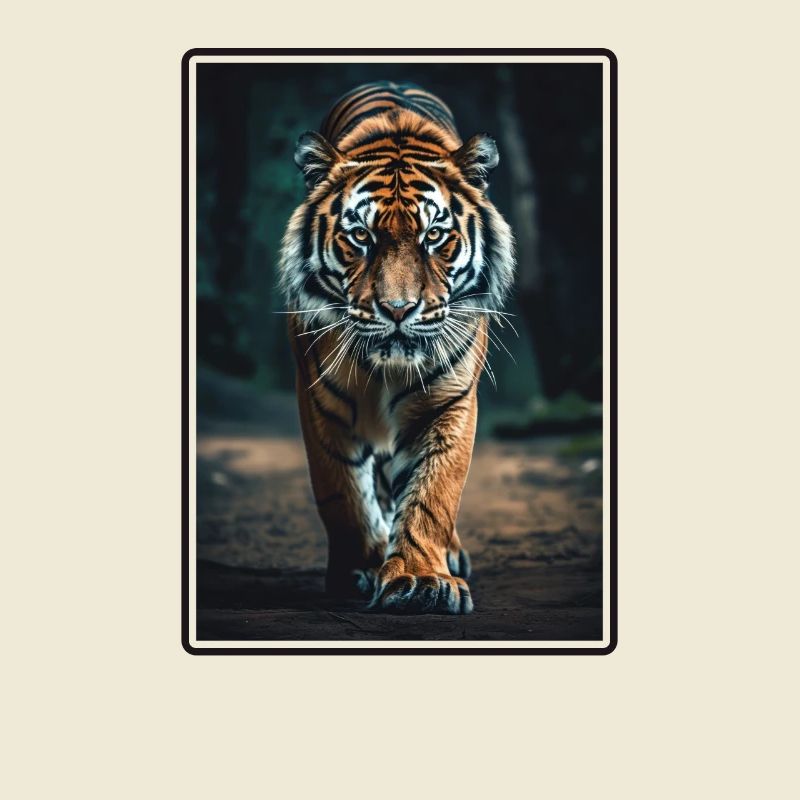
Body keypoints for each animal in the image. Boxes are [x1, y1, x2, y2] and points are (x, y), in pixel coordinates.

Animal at [279, 81, 515, 614]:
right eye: (360, 236)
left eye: (434, 235)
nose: (398, 309)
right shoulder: (320, 403)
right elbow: (343, 493)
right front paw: (362, 570)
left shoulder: (449, 403)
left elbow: (432, 494)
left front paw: (420, 580)